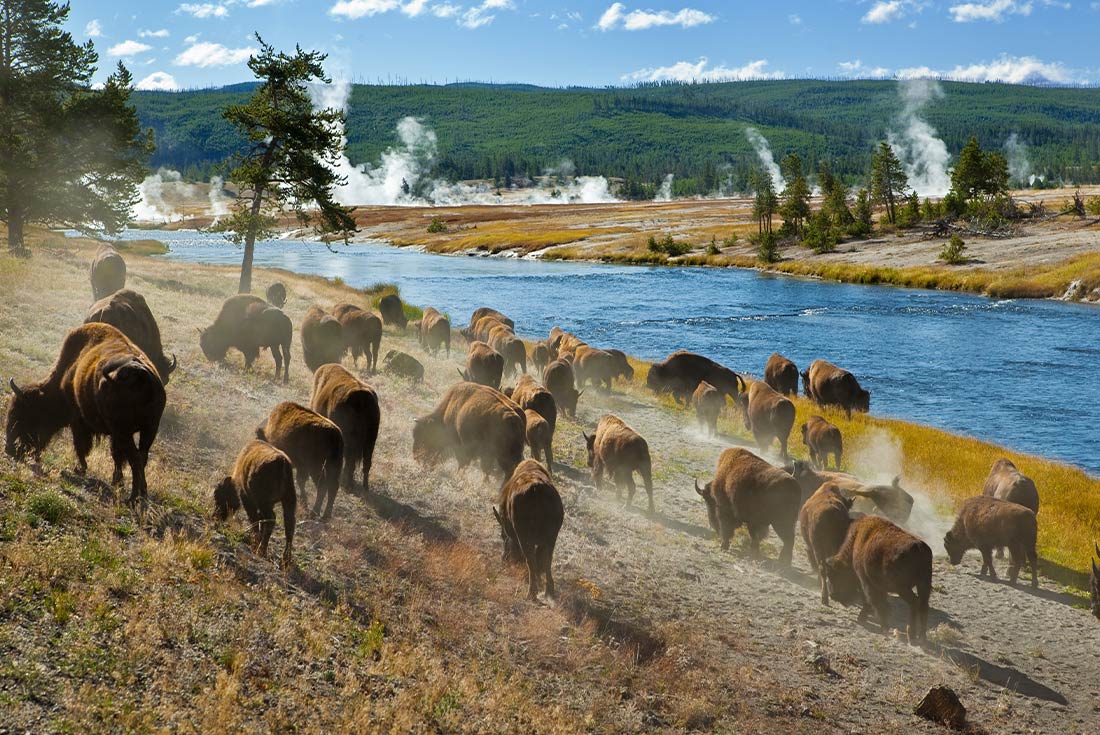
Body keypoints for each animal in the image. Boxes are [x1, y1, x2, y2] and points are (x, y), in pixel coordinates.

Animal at [5, 323, 165, 503]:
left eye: (23, 414)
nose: (9, 448)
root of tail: (140, 373)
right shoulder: (113, 433)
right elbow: (115, 456)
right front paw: (116, 481)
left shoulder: (79, 421)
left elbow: (81, 445)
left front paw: (79, 468)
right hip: (148, 430)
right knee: (141, 458)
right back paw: (141, 494)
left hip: (126, 431)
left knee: (135, 459)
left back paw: (132, 498)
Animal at [214, 439, 296, 568]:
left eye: (218, 495)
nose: (215, 516)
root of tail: (281, 462)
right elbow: (260, 521)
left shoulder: (247, 498)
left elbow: (254, 519)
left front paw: (254, 543)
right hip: (288, 501)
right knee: (289, 526)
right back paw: (285, 560)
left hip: (265, 502)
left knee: (271, 519)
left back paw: (261, 550)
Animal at [311, 364, 380, 493]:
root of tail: (362, 397)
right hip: (370, 441)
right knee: (366, 463)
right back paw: (364, 487)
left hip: (352, 441)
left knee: (350, 461)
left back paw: (348, 484)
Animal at [493, 458, 564, 600]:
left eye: (503, 536)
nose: (505, 559)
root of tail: (537, 488)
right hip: (551, 538)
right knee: (547, 560)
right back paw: (549, 592)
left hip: (526, 538)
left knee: (531, 560)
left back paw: (531, 593)